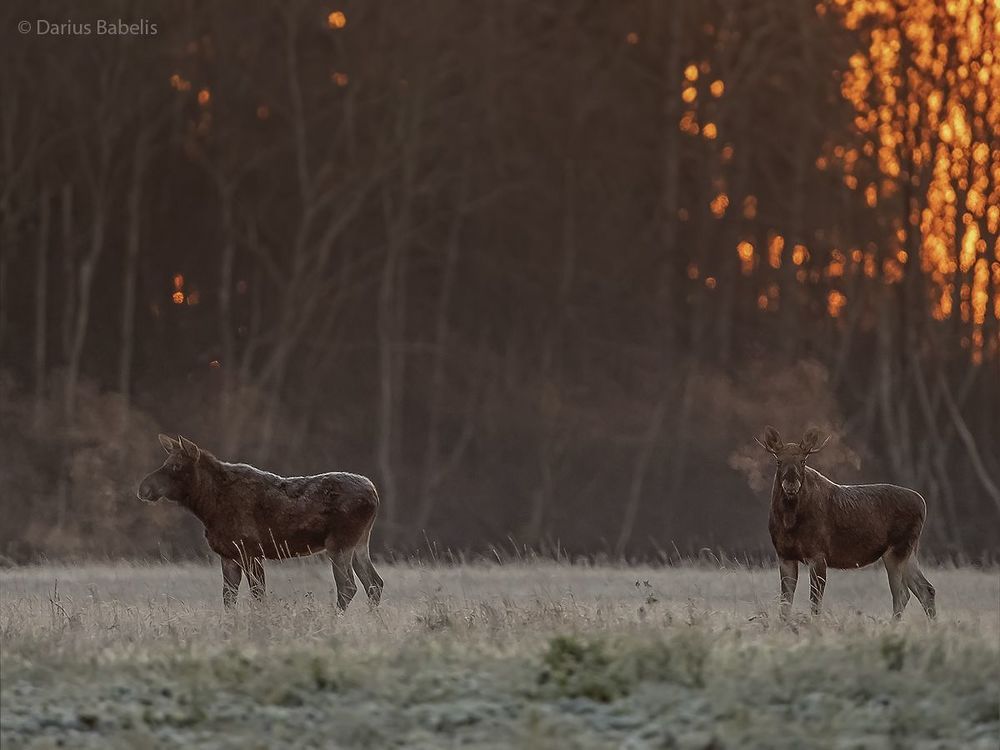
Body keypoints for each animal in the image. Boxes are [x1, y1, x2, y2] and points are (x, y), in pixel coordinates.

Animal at [137, 434, 383, 611]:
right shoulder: (229, 555)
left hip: (339, 543)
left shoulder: (251, 552)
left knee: (348, 586)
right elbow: (228, 599)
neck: (207, 508)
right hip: (360, 543)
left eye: (176, 466)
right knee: (374, 583)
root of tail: (374, 494)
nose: (143, 487)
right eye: (166, 462)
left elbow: (258, 596)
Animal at [756, 426, 936, 620]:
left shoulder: (818, 554)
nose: (791, 485)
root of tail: (923, 503)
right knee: (926, 589)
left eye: (803, 461)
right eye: (778, 461)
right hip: (909, 550)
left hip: (897, 549)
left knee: (902, 593)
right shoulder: (784, 555)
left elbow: (815, 603)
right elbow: (785, 604)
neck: (789, 521)